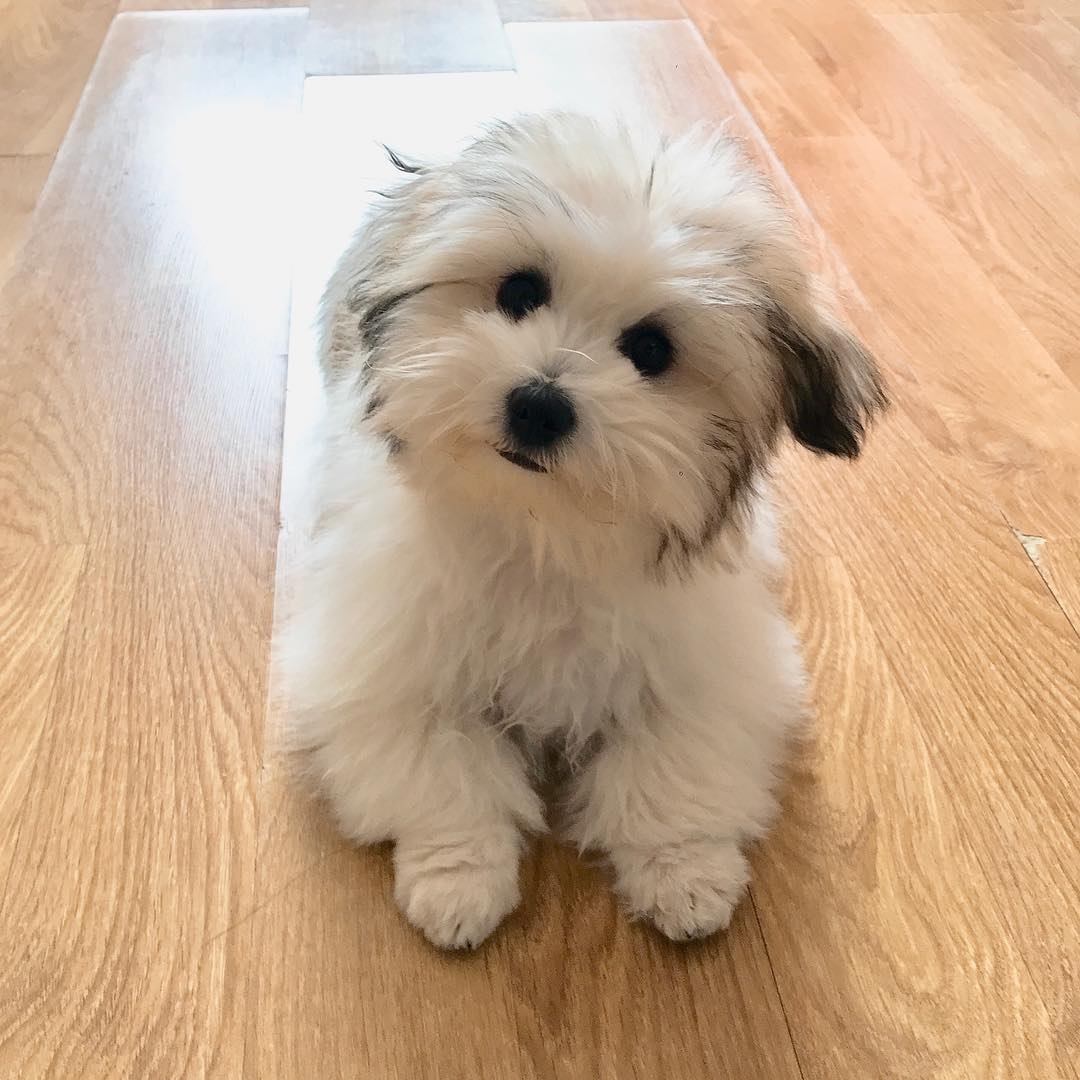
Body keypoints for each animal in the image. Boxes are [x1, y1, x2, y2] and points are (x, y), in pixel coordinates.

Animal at [282, 113, 881, 950]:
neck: (545, 532)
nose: (539, 404)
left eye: (652, 349)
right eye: (519, 292)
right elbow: (442, 767)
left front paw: (685, 873)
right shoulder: (384, 669)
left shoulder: (714, 668)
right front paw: (458, 880)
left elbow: (673, 764)